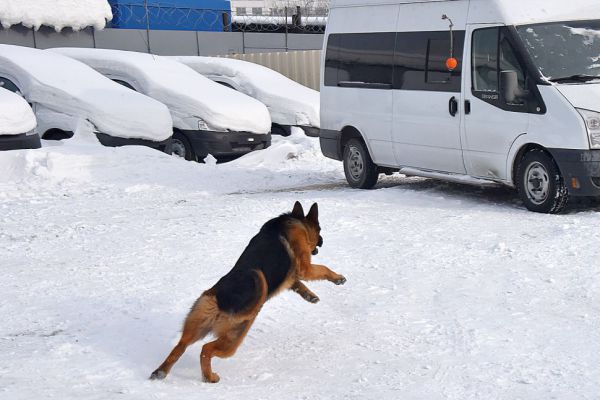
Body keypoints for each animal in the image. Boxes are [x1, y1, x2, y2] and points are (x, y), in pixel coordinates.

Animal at [150, 202, 346, 382]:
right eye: (319, 230)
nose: (322, 240)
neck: (296, 221)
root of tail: (219, 299)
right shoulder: (305, 267)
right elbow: (323, 269)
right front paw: (338, 277)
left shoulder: (291, 276)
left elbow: (297, 284)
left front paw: (310, 296)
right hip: (234, 337)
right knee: (206, 349)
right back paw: (209, 377)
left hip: (197, 324)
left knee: (180, 346)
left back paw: (161, 371)